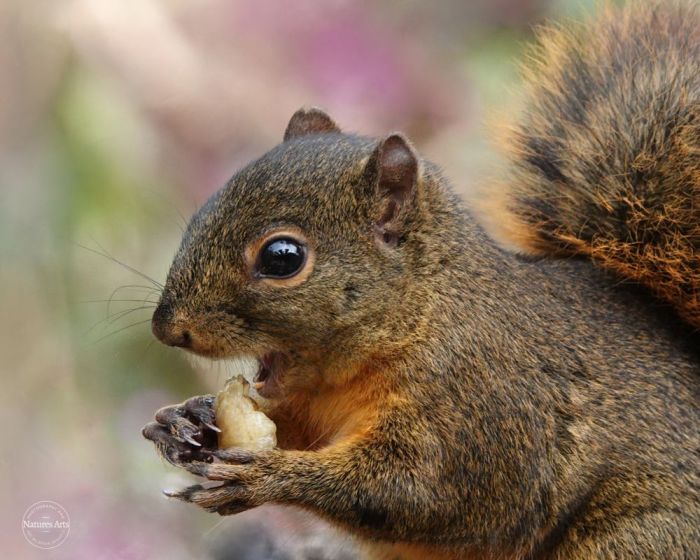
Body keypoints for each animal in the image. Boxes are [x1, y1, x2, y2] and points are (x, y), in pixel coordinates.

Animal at [142, 2, 699, 559]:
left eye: (283, 258)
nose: (167, 328)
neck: (421, 314)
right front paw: (189, 419)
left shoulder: (476, 409)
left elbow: (421, 493)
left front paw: (268, 477)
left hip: (634, 540)